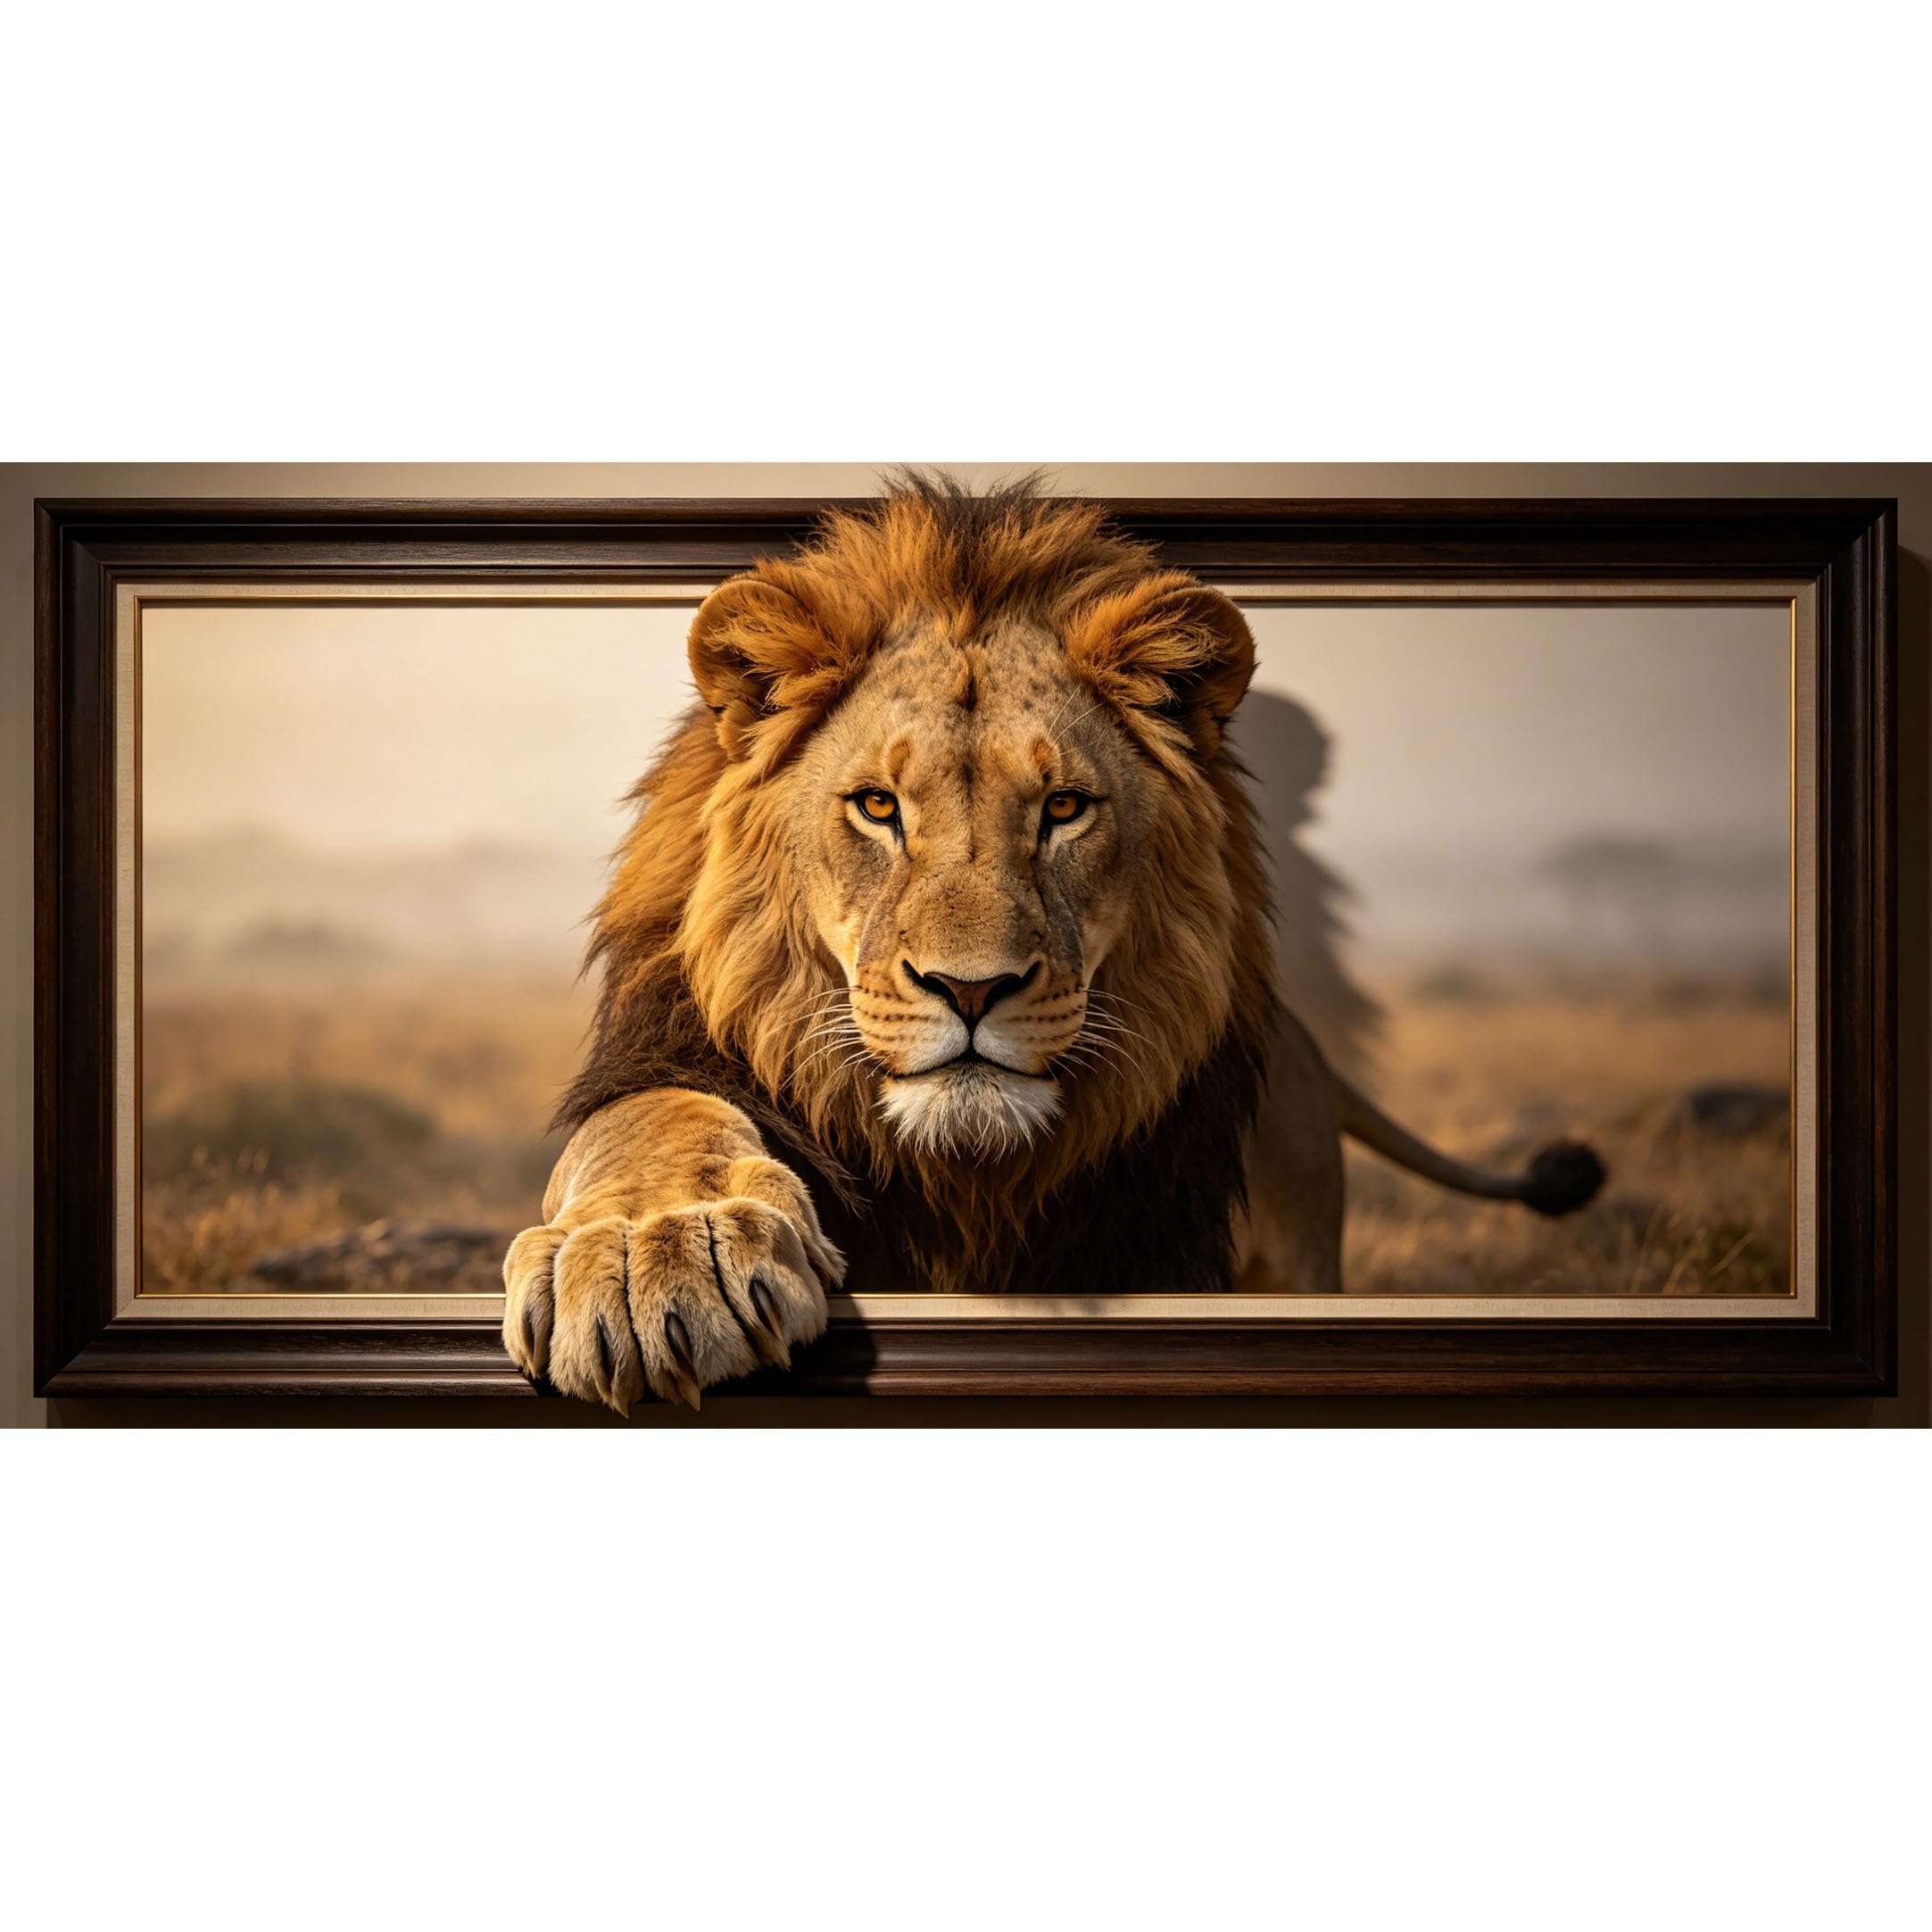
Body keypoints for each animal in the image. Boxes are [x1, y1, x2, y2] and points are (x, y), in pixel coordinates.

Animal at [502, 474, 1604, 1410]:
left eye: (1064, 808)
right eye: (876, 806)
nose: (969, 989)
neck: (969, 1179)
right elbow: (653, 1121)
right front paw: (655, 1255)